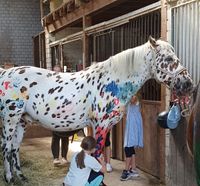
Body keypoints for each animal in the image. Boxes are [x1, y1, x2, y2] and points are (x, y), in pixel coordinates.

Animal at [0, 36, 194, 182]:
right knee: (6, 147)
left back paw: (21, 177)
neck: (111, 82)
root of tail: (5, 73)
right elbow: (96, 154)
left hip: (21, 121)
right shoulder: (100, 124)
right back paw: (9, 178)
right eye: (168, 59)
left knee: (15, 148)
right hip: (10, 120)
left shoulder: (103, 126)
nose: (188, 84)